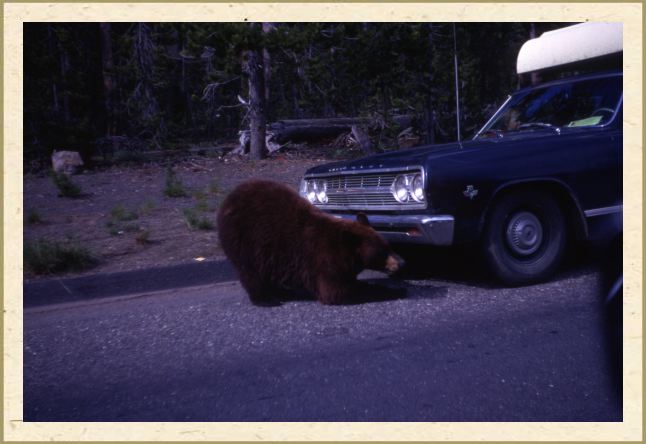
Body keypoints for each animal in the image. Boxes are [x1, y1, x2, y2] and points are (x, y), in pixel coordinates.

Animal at [217, 180, 405, 305]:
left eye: (389, 245)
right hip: (243, 239)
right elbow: (336, 290)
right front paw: (394, 290)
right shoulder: (324, 258)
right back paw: (265, 299)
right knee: (249, 271)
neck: (348, 252)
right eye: (382, 251)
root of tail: (229, 198)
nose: (402, 262)